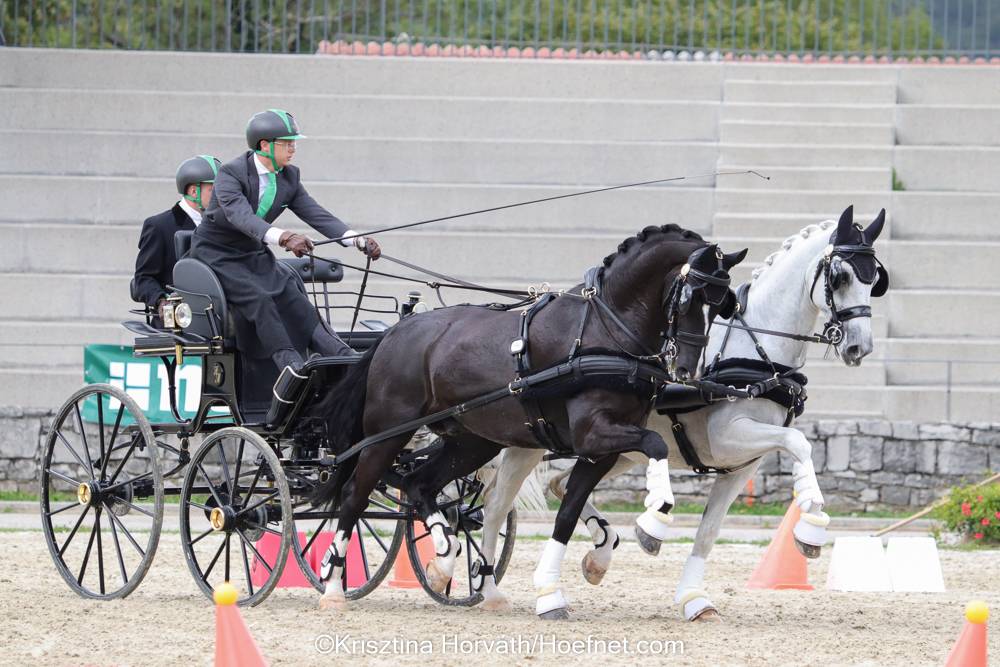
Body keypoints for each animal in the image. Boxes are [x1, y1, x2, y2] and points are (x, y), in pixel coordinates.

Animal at [310, 224, 748, 613]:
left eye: (722, 303)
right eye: (689, 297)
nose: (688, 370)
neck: (606, 332)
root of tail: (396, 331)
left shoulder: (599, 450)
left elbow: (568, 513)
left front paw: (563, 584)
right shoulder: (592, 434)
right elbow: (655, 445)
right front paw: (654, 520)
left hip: (471, 441)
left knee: (420, 485)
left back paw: (446, 558)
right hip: (386, 433)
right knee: (356, 495)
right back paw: (333, 586)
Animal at [473, 206, 888, 620]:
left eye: (874, 280)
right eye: (840, 276)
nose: (859, 347)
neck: (755, 349)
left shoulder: (742, 465)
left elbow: (708, 531)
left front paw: (694, 598)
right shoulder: (727, 437)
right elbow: (799, 441)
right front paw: (812, 525)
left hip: (608, 450)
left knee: (552, 487)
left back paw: (595, 556)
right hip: (528, 445)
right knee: (495, 508)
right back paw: (488, 588)